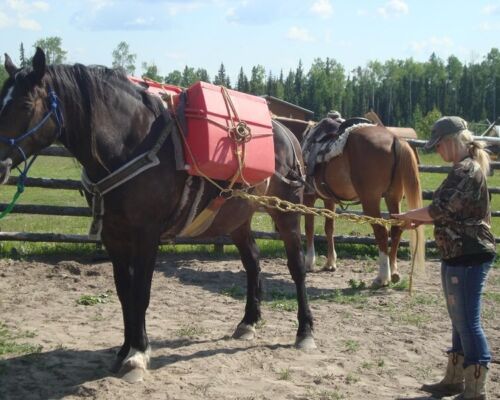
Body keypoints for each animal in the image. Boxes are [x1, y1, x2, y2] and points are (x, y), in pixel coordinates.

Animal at [0, 49, 314, 382]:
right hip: (238, 218)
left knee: (296, 267)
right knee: (253, 262)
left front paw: (137, 355)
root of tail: (286, 132)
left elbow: (142, 292)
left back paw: (305, 331)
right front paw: (124, 350)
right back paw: (248, 322)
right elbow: (125, 293)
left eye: (25, 104)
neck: (130, 145)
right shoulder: (113, 236)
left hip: (286, 212)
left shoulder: (146, 235)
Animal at [298, 117, 424, 286]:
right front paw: (330, 263)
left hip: (370, 200)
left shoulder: (308, 197)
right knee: (396, 229)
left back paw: (383, 277)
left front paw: (309, 262)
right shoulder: (329, 200)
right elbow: (329, 228)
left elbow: (309, 228)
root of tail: (394, 139)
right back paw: (393, 271)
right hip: (393, 197)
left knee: (381, 231)